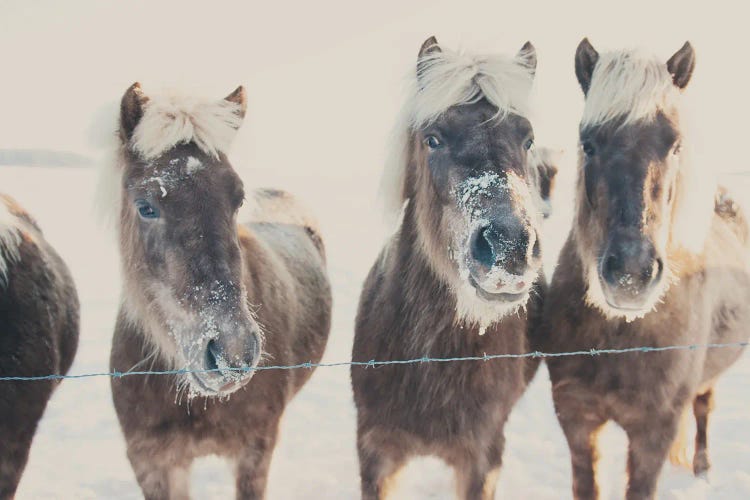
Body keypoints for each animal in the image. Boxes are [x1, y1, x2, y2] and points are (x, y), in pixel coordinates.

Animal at [540, 40, 750, 500]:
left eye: (675, 145)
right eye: (588, 143)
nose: (631, 274)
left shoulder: (654, 432)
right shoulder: (577, 420)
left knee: (704, 409)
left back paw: (703, 469)